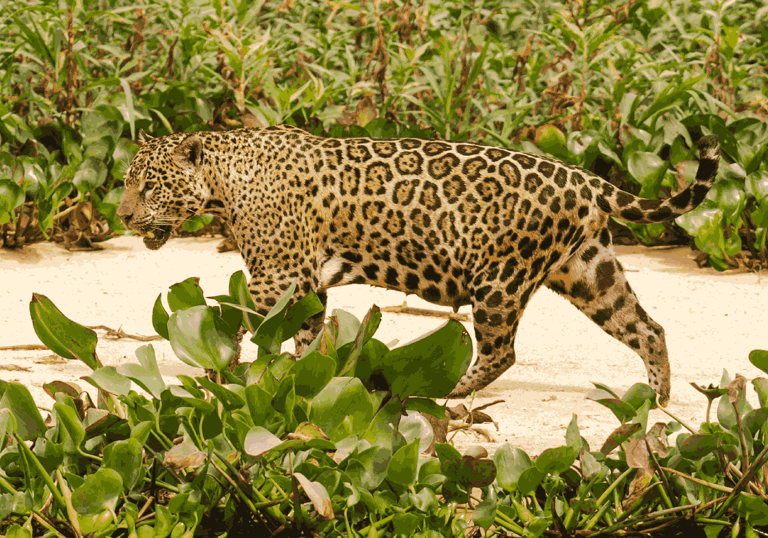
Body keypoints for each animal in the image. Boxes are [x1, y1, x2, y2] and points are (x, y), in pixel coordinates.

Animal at [117, 125, 719, 405]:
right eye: (127, 182)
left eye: (148, 186)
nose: (122, 215)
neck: (222, 182)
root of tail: (586, 178)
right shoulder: (304, 285)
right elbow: (306, 338)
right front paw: (300, 376)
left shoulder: (278, 278)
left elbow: (242, 319)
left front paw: (228, 365)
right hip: (588, 271)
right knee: (647, 326)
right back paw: (658, 399)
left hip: (499, 280)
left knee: (501, 350)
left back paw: (445, 392)